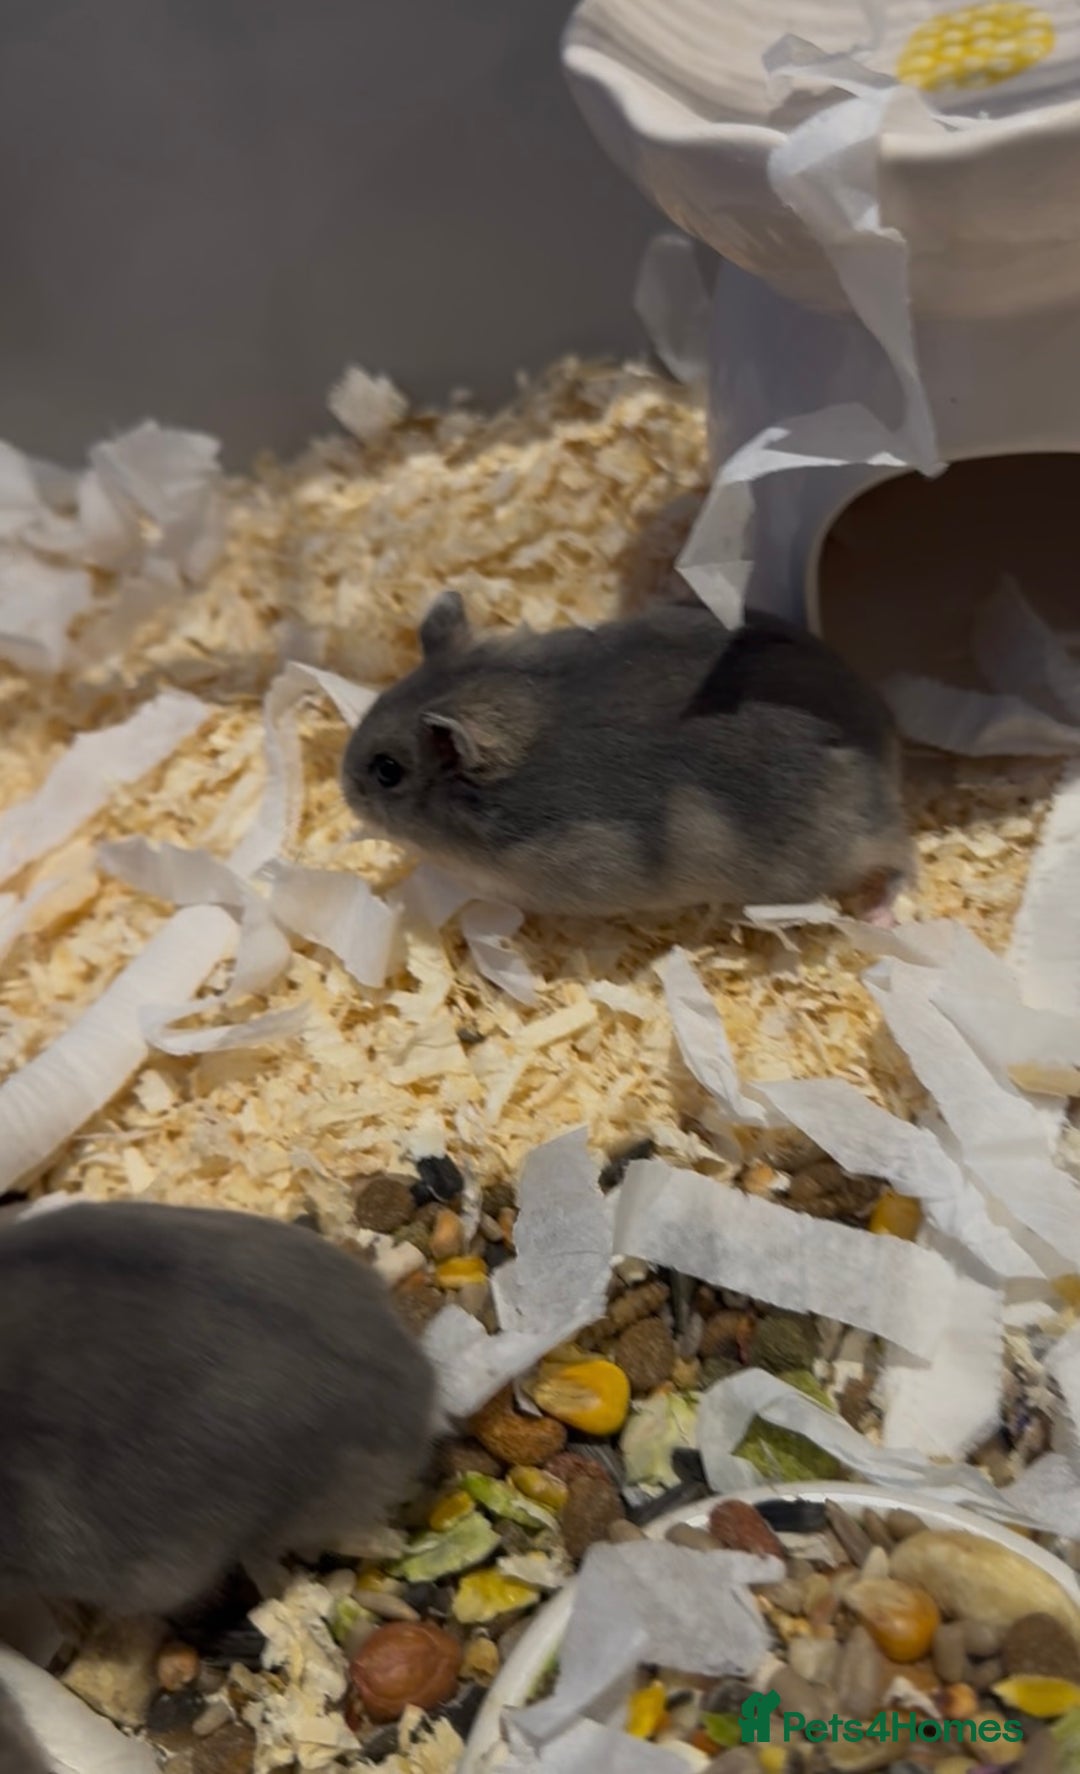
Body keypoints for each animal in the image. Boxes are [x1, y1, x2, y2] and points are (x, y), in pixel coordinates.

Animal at [341, 591, 914, 917]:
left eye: (387, 771)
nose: (344, 791)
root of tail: (886, 746)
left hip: (846, 847)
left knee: (905, 855)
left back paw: (876, 915)